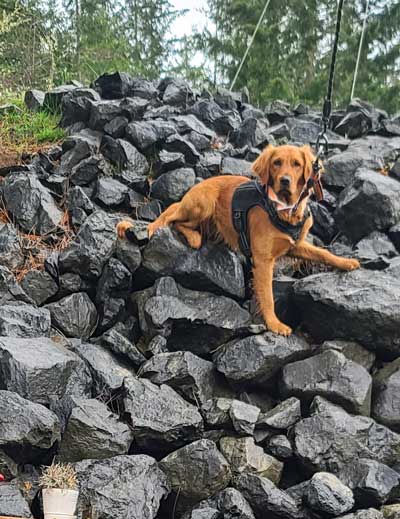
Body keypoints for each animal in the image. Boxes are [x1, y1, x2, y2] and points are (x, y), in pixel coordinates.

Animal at [115, 144, 360, 338]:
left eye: (297, 164)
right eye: (277, 163)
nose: (285, 180)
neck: (283, 211)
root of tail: (191, 191)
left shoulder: (295, 245)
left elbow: (323, 253)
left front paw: (345, 262)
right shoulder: (263, 260)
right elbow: (268, 296)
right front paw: (275, 324)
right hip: (203, 203)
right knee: (172, 218)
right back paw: (192, 236)